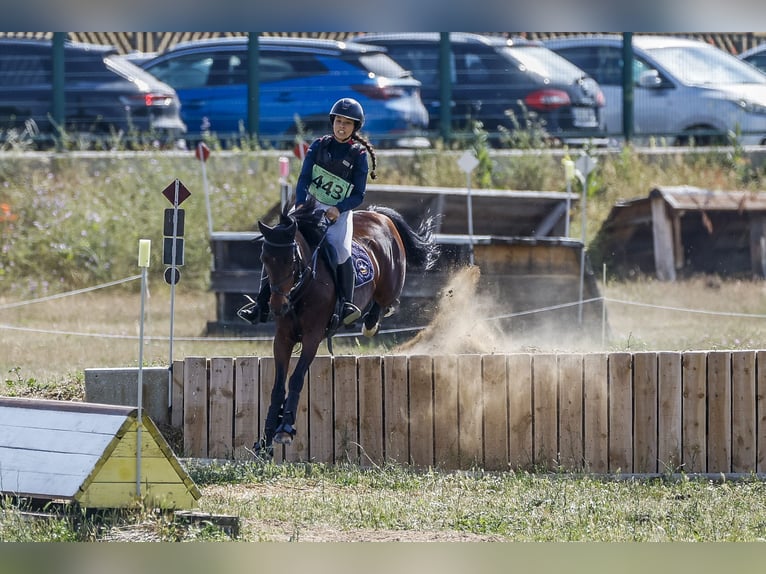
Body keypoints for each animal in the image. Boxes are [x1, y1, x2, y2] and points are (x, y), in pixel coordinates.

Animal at [255, 200, 440, 456]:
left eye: (290, 260)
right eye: (264, 259)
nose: (277, 307)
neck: (302, 286)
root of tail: (379, 216)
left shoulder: (313, 337)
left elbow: (296, 378)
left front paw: (285, 429)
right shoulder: (282, 338)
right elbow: (277, 386)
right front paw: (266, 438)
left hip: (391, 284)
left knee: (387, 302)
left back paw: (369, 321)